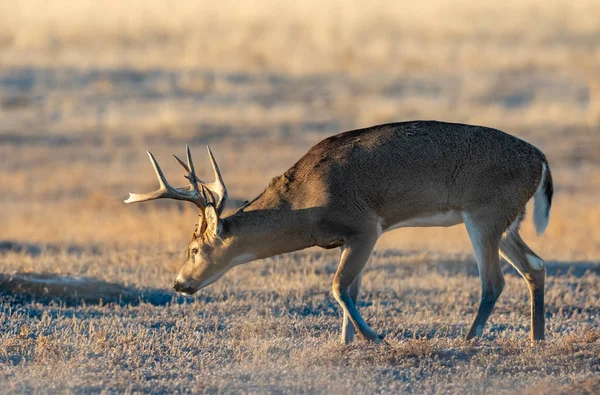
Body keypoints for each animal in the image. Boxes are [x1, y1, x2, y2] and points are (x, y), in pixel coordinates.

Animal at [125, 120, 552, 344]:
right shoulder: (351, 238)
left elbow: (336, 286)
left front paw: (372, 337)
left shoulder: (366, 226)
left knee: (494, 280)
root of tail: (541, 159)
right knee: (536, 265)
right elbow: (351, 289)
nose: (179, 284)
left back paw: (469, 338)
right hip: (506, 219)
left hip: (484, 213)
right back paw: (537, 337)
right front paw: (347, 342)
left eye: (193, 249)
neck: (305, 205)